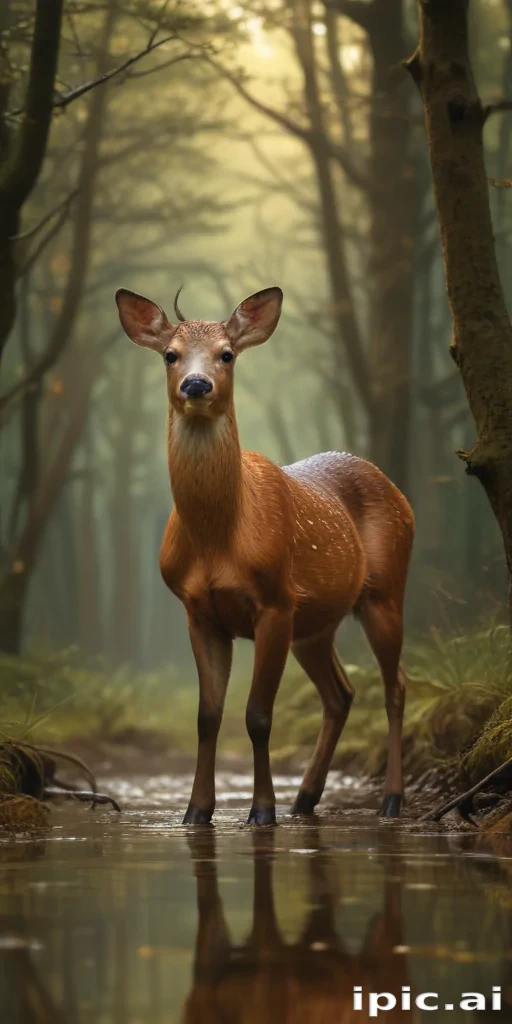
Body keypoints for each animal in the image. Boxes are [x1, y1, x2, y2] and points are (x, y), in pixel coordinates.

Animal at [115, 285, 414, 826]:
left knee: (396, 685)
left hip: (385, 591)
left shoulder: (274, 601)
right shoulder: (200, 612)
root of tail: (399, 493)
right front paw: (197, 811)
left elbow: (257, 715)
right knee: (341, 693)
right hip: (316, 622)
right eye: (170, 354)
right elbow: (207, 715)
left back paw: (390, 799)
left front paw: (261, 810)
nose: (196, 384)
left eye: (226, 354)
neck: (218, 539)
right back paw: (306, 798)